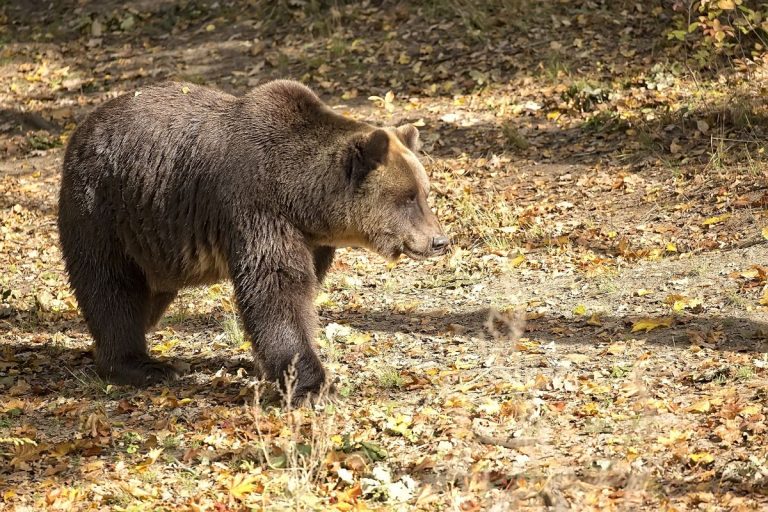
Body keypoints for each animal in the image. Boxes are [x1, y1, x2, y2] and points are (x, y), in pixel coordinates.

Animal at [58, 79, 450, 404]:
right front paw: (313, 386)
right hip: (104, 208)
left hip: (154, 240)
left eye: (425, 192)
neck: (301, 198)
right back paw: (139, 364)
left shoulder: (311, 240)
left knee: (147, 295)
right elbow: (276, 292)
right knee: (112, 285)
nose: (439, 241)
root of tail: (81, 128)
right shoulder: (256, 209)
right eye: (408, 197)